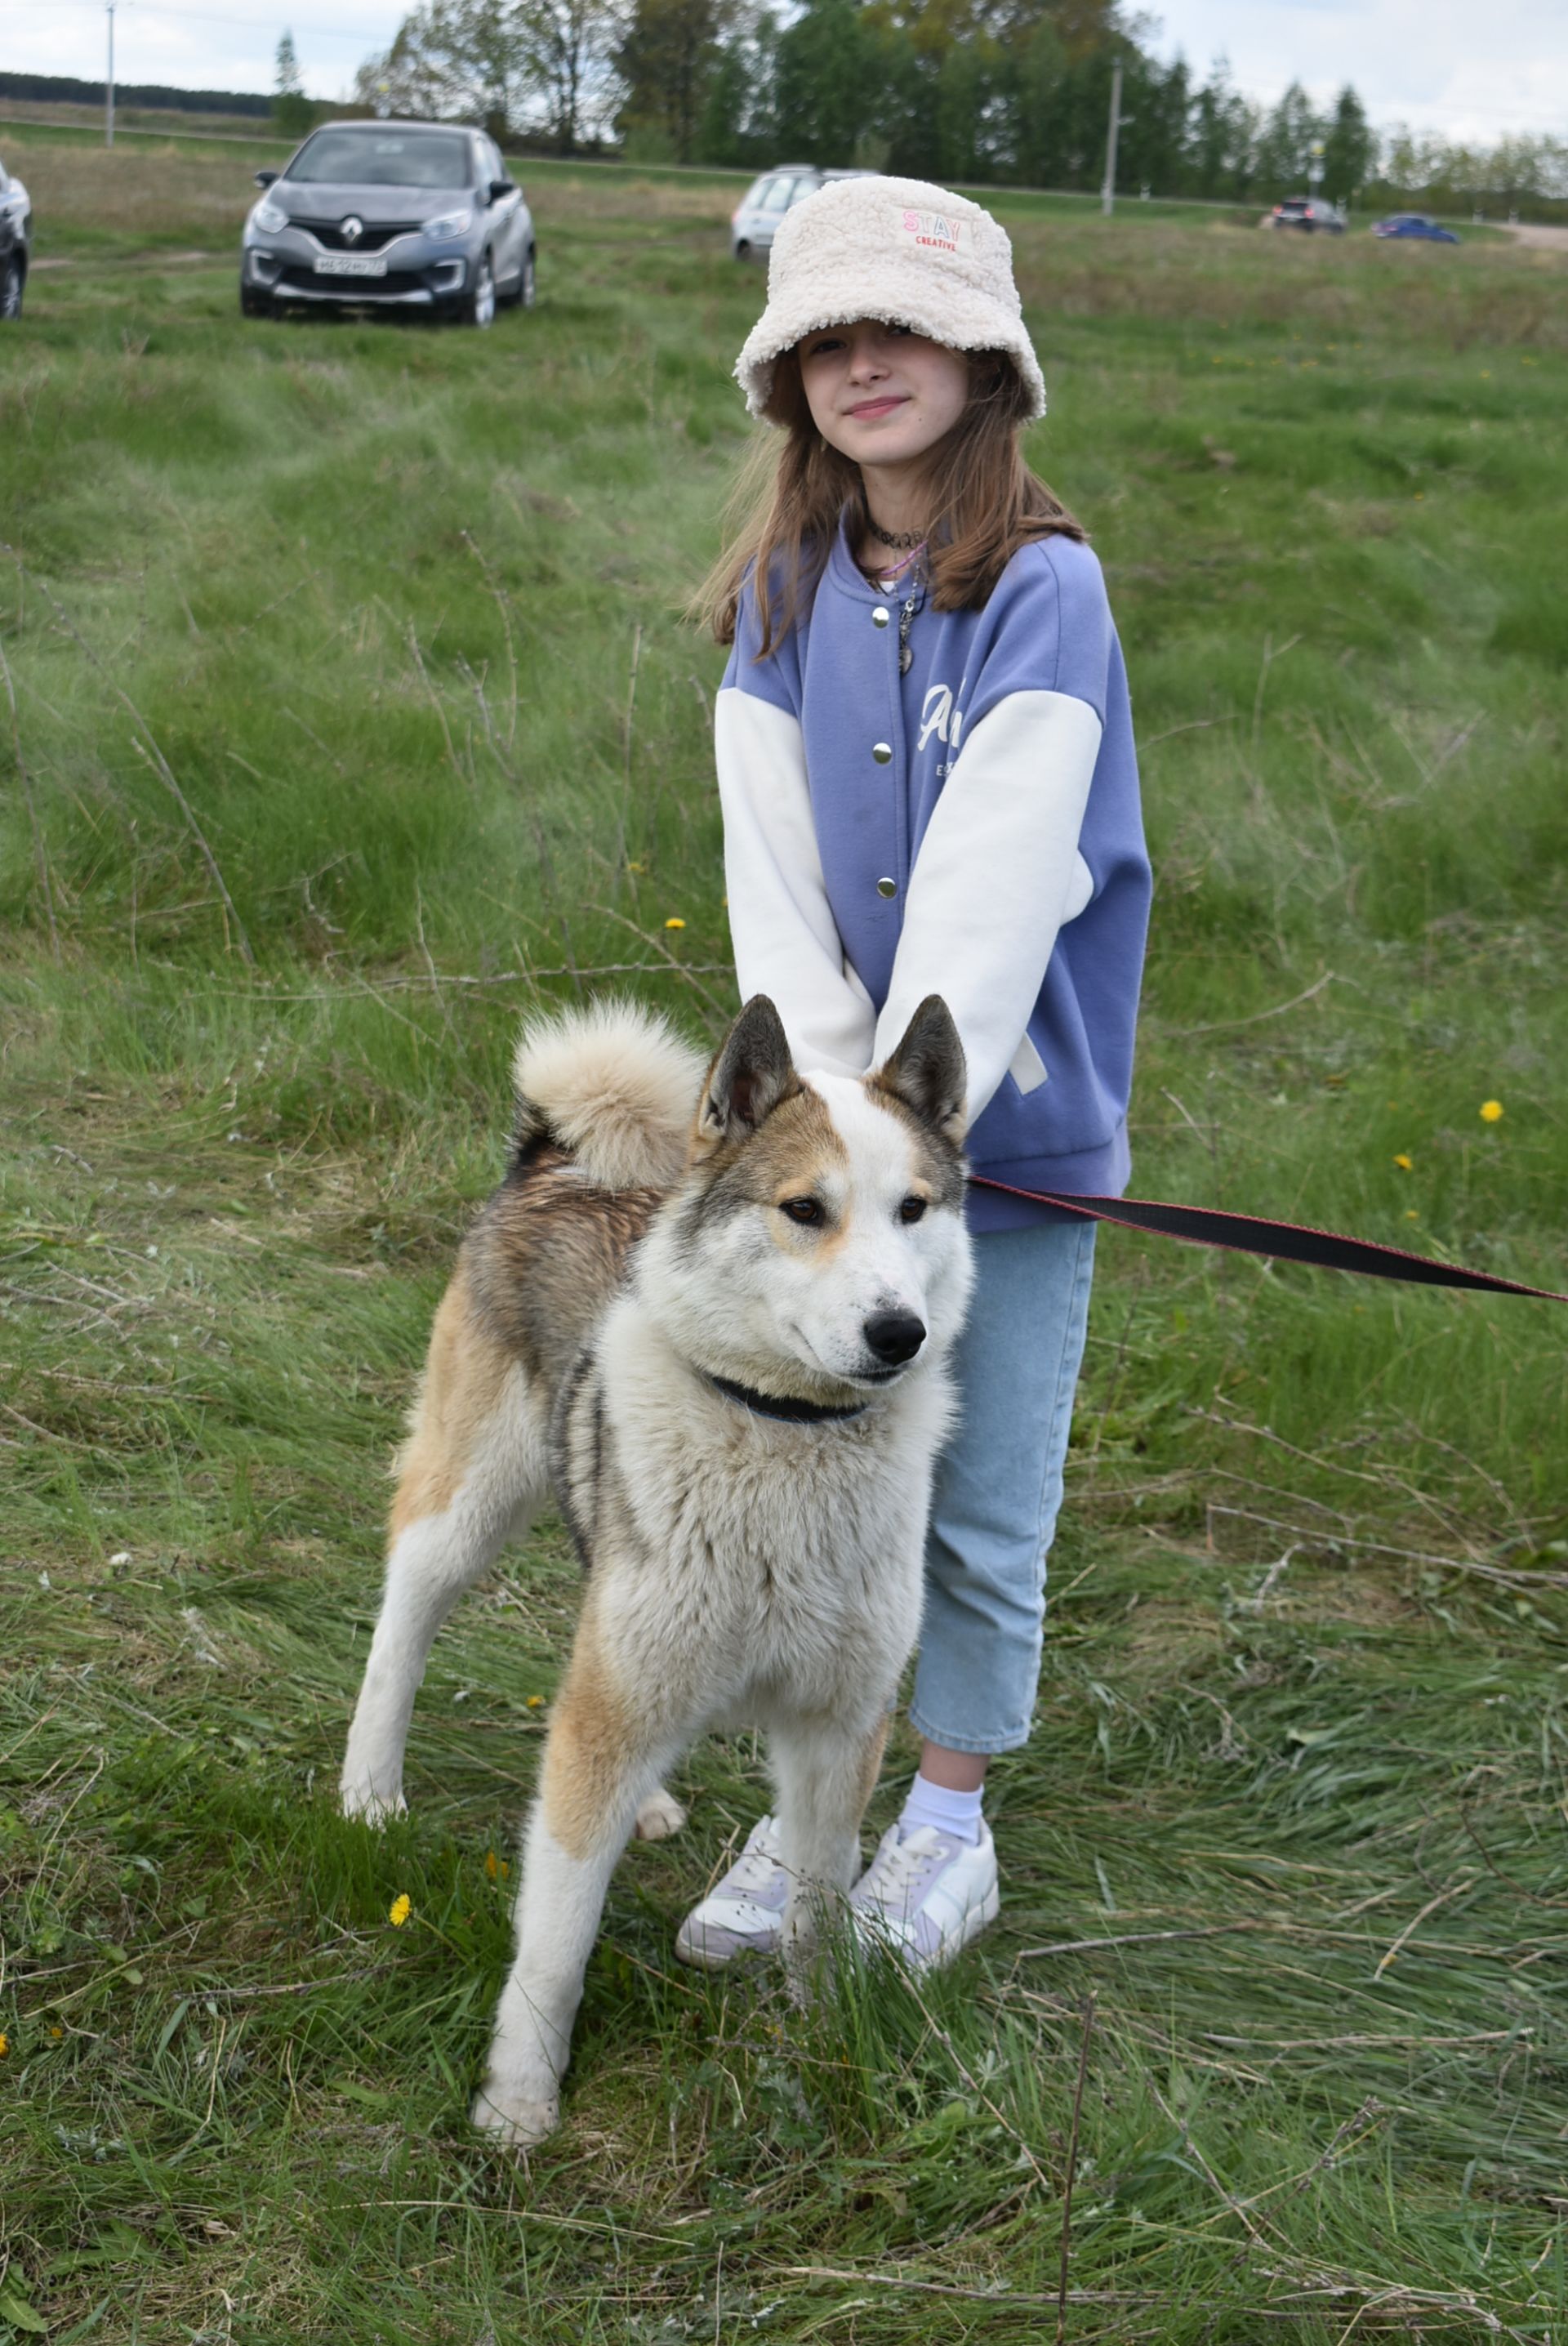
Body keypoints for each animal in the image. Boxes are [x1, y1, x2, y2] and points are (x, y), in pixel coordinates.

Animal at [344, 989, 970, 2148]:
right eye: (804, 1209)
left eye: (913, 1209)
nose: (898, 1331)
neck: (785, 1433)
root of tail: (554, 1159)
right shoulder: (615, 1712)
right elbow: (554, 1938)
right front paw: (519, 2101)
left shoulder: (837, 1734)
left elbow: (817, 1908)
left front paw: (824, 2039)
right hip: (468, 1508)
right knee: (401, 1627)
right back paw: (368, 1791)